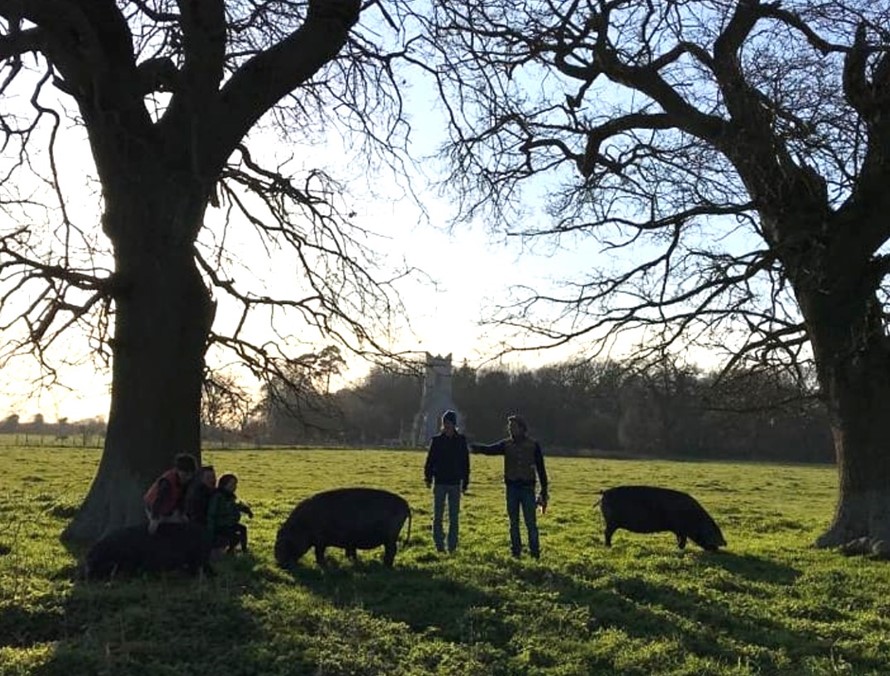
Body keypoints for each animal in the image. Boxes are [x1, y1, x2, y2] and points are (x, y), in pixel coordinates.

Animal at [274, 488, 412, 568]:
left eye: (286, 542)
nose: (279, 563)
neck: (302, 525)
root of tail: (405, 504)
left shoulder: (320, 542)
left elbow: (319, 553)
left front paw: (321, 564)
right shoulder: (348, 542)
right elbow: (350, 551)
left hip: (390, 537)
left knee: (392, 550)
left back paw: (386, 566)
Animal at [592, 486, 724, 548]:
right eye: (712, 533)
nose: (724, 543)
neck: (695, 519)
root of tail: (604, 493)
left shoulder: (678, 530)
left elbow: (680, 538)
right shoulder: (681, 529)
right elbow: (682, 539)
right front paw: (680, 548)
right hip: (611, 522)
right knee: (606, 533)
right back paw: (609, 546)